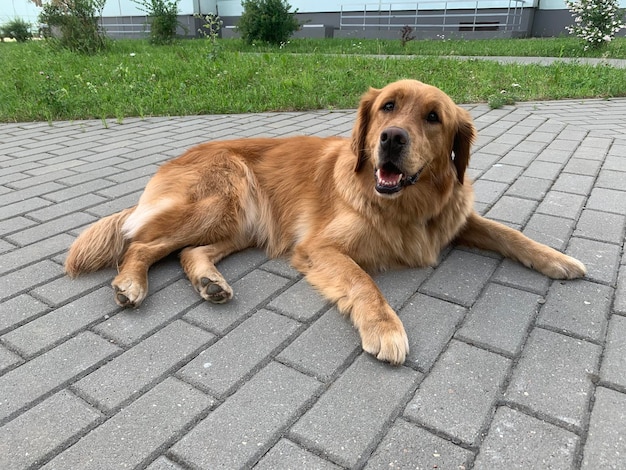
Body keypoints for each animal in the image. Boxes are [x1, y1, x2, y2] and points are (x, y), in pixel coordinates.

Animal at [66, 80, 584, 364]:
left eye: (434, 117)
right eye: (387, 107)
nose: (391, 139)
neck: (406, 206)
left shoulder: (455, 220)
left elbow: (508, 233)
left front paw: (556, 258)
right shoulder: (320, 247)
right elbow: (362, 281)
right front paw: (385, 328)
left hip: (241, 224)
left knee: (188, 251)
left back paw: (211, 282)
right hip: (221, 201)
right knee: (142, 244)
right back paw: (131, 283)